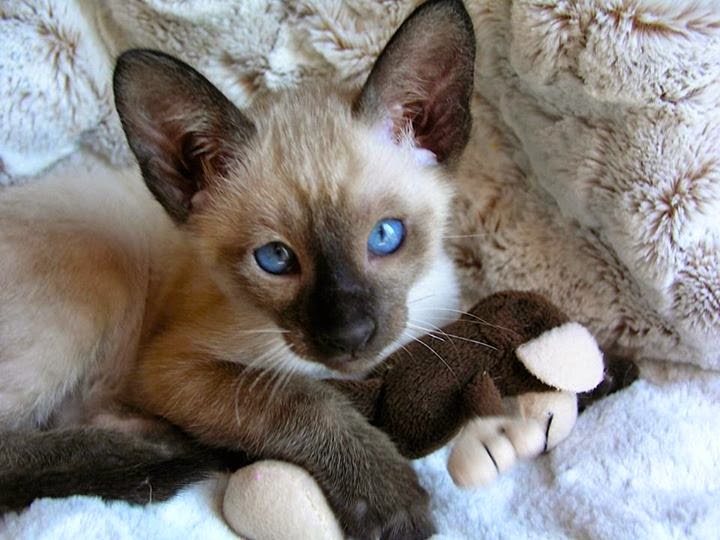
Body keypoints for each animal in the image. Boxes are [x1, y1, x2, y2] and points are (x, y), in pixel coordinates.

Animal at [0, 2, 476, 536]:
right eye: (275, 259)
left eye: (385, 236)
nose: (349, 335)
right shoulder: (173, 367)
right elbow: (301, 400)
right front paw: (388, 498)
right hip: (99, 286)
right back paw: (168, 453)